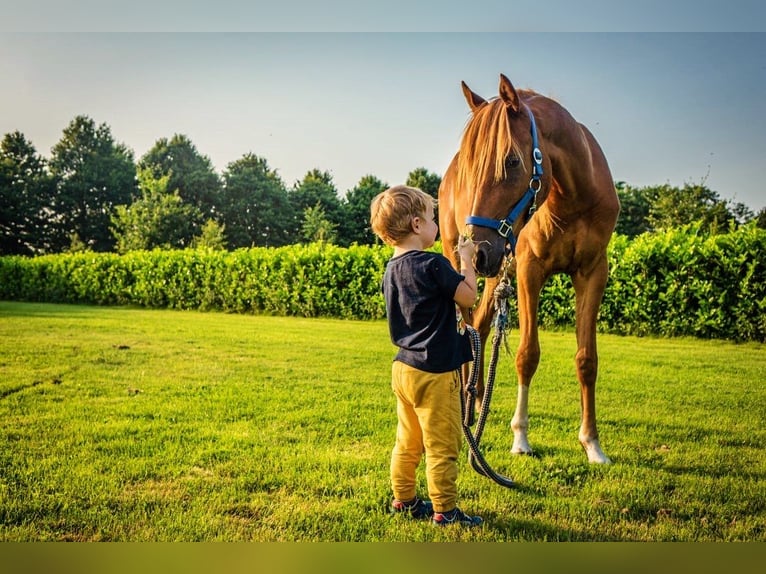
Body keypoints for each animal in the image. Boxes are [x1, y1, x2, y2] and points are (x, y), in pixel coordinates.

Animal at [440, 74, 620, 466]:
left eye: (511, 160)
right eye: (471, 167)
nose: (477, 250)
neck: (571, 199)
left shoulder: (593, 271)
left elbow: (587, 359)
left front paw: (592, 443)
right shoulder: (528, 271)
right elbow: (527, 354)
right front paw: (521, 437)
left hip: (495, 272)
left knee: (479, 327)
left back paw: (478, 399)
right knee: (466, 327)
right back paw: (464, 407)